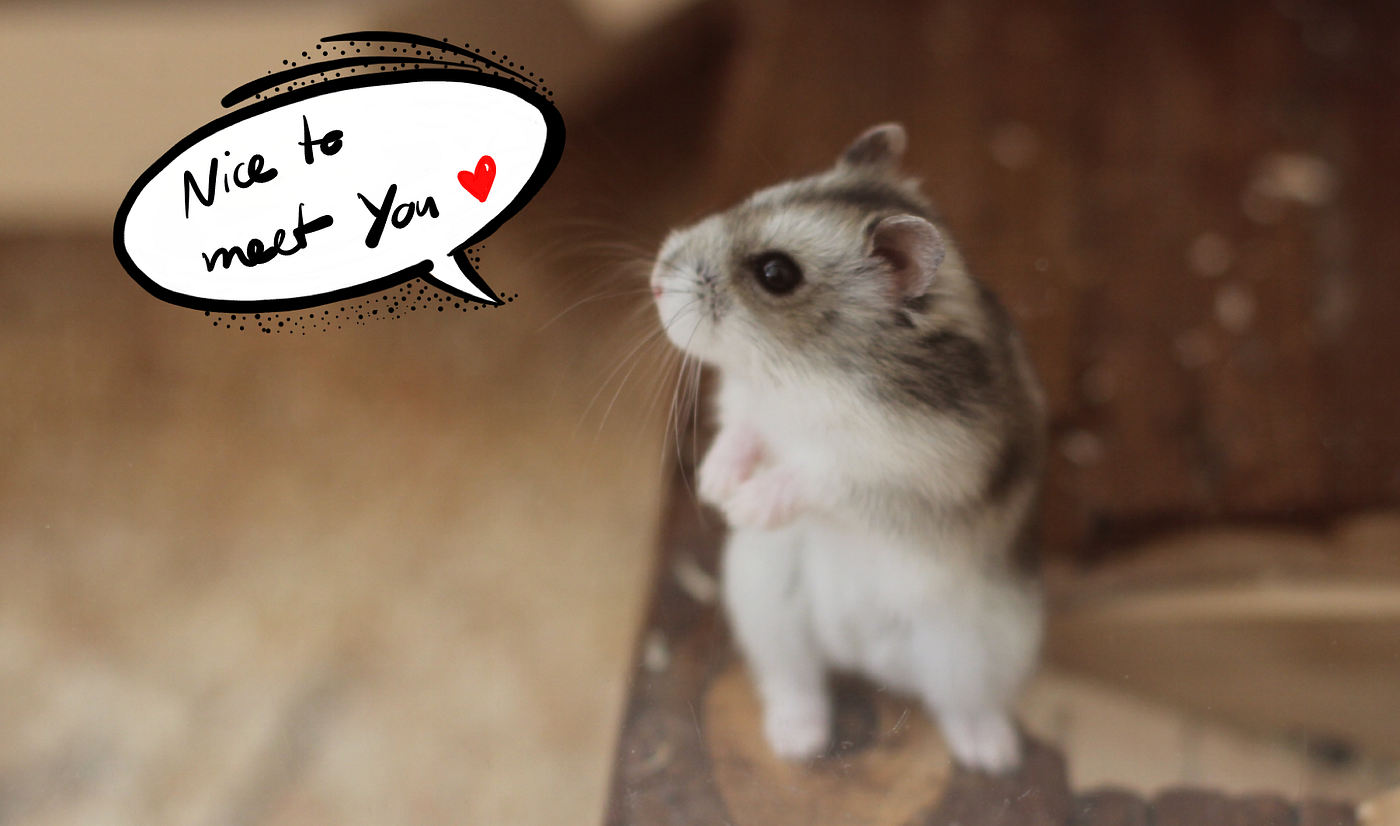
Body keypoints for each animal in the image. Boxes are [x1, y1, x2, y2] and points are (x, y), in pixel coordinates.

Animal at [649, 124, 1046, 773]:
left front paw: (745, 506)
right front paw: (716, 487)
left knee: (962, 703)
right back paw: (795, 744)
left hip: (978, 650)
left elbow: (812, 474)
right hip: (767, 609)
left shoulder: (900, 471)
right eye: (754, 197)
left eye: (776, 274)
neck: (802, 372)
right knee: (797, 682)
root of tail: (865, 656)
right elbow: (743, 436)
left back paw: (993, 755)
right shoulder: (747, 407)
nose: (656, 280)